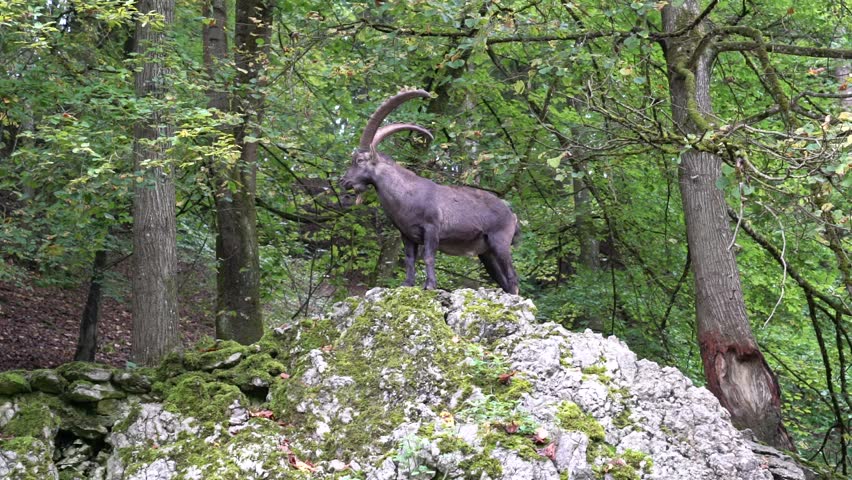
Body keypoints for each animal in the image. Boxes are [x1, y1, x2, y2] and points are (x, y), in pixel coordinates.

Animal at [340, 89, 520, 294]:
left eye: (360, 160)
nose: (344, 181)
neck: (407, 194)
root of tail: (512, 215)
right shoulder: (407, 235)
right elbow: (409, 259)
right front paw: (407, 284)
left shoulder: (431, 229)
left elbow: (428, 257)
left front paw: (430, 285)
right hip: (486, 253)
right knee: (504, 280)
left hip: (500, 242)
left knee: (513, 277)